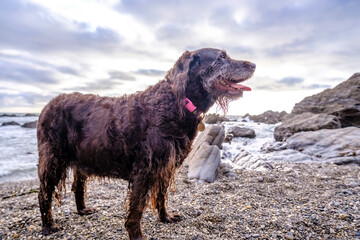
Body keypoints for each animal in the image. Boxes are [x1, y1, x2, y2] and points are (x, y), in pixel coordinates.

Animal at [37, 47, 256, 239]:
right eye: (221, 57)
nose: (254, 65)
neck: (175, 103)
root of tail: (47, 106)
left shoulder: (165, 166)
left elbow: (161, 195)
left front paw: (165, 217)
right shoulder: (145, 170)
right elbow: (137, 208)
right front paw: (136, 235)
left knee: (78, 185)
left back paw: (82, 209)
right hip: (53, 159)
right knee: (44, 193)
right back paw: (48, 226)